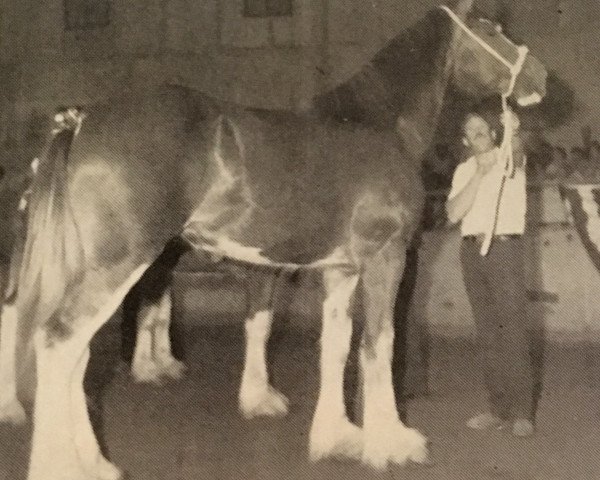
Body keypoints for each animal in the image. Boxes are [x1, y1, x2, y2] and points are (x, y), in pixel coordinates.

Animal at [16, 1, 548, 478]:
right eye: (492, 29)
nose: (540, 78)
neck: (375, 125)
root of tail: (80, 123)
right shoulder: (385, 258)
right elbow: (378, 343)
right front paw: (393, 442)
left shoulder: (340, 271)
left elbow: (336, 346)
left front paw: (339, 437)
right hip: (118, 264)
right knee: (60, 343)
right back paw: (64, 466)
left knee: (75, 354)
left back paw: (95, 464)